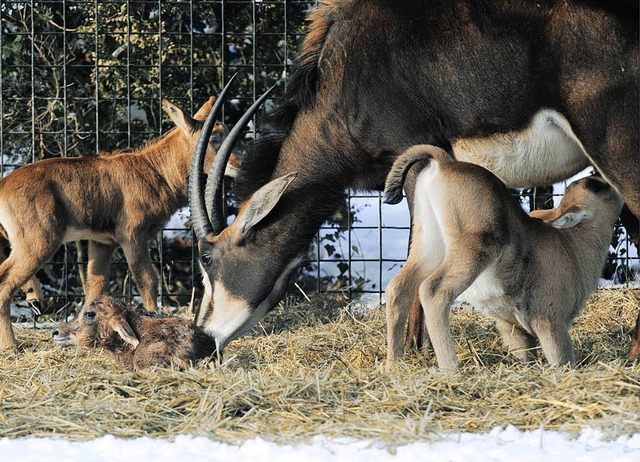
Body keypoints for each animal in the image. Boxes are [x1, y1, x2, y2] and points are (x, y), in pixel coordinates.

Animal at [0, 97, 229, 350]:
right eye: (215, 138)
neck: (154, 170)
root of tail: (3, 186)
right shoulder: (133, 236)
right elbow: (147, 279)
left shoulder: (103, 242)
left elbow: (96, 285)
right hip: (39, 242)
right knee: (5, 283)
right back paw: (12, 347)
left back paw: (34, 300)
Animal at [382, 144, 624, 372]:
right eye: (595, 186)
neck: (572, 245)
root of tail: (443, 162)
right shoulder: (550, 322)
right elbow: (562, 360)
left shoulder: (512, 327)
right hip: (472, 250)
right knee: (433, 291)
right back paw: (451, 370)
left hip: (428, 246)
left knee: (398, 288)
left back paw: (393, 365)